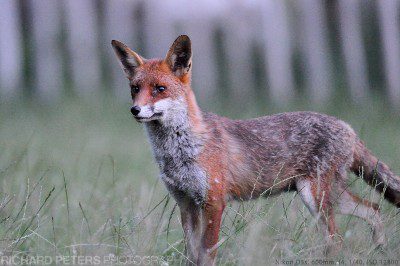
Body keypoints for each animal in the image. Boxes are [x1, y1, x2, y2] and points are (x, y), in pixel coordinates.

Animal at [111, 35, 400, 266]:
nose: (135, 110)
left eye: (159, 89)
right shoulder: (186, 204)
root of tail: (347, 126)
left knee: (338, 239)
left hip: (316, 198)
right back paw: (380, 248)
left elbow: (207, 253)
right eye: (135, 89)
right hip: (330, 198)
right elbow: (192, 254)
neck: (180, 151)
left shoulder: (214, 202)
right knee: (373, 209)